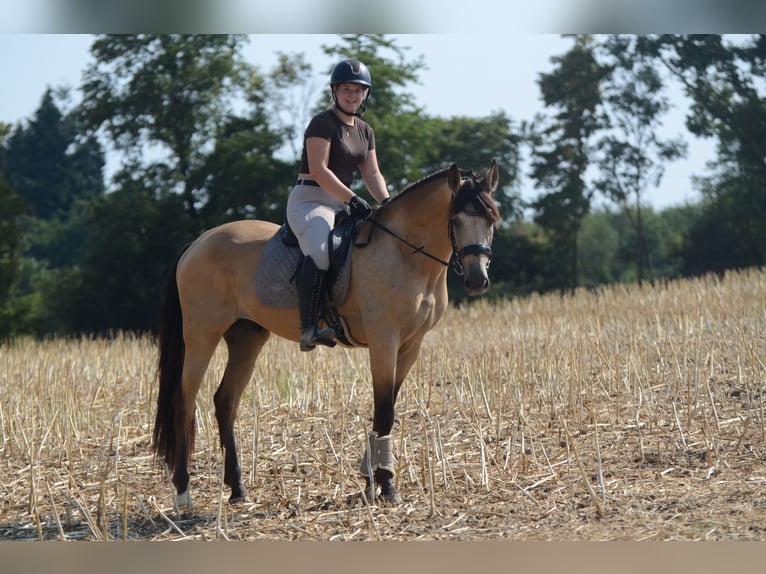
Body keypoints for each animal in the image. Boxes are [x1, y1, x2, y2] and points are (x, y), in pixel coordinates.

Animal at [152, 160, 500, 510]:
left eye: (491, 219)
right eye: (456, 220)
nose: (477, 280)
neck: (405, 252)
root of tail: (198, 243)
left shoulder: (411, 345)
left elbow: (386, 408)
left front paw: (371, 480)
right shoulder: (384, 340)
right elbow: (384, 410)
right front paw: (387, 486)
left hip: (247, 338)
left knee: (225, 401)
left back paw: (237, 489)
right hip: (201, 336)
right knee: (184, 402)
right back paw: (183, 494)